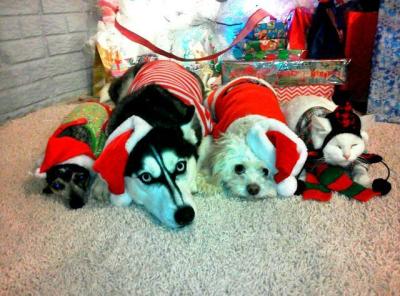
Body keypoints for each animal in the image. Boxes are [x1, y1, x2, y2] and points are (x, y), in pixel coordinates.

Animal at [93, 60, 212, 229]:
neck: (149, 117)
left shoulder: (205, 127)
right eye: (146, 177)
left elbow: (200, 153)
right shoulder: (110, 127)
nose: (185, 215)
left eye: (180, 166)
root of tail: (160, 60)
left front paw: (194, 182)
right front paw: (101, 182)